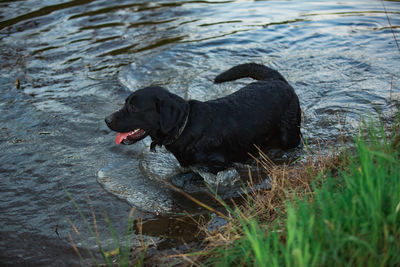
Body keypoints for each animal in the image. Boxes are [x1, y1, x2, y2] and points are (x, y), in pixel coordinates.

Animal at [105, 63, 300, 175]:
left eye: (134, 107)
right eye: (126, 103)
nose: (106, 119)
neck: (185, 126)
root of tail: (275, 79)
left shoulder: (216, 164)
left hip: (289, 134)